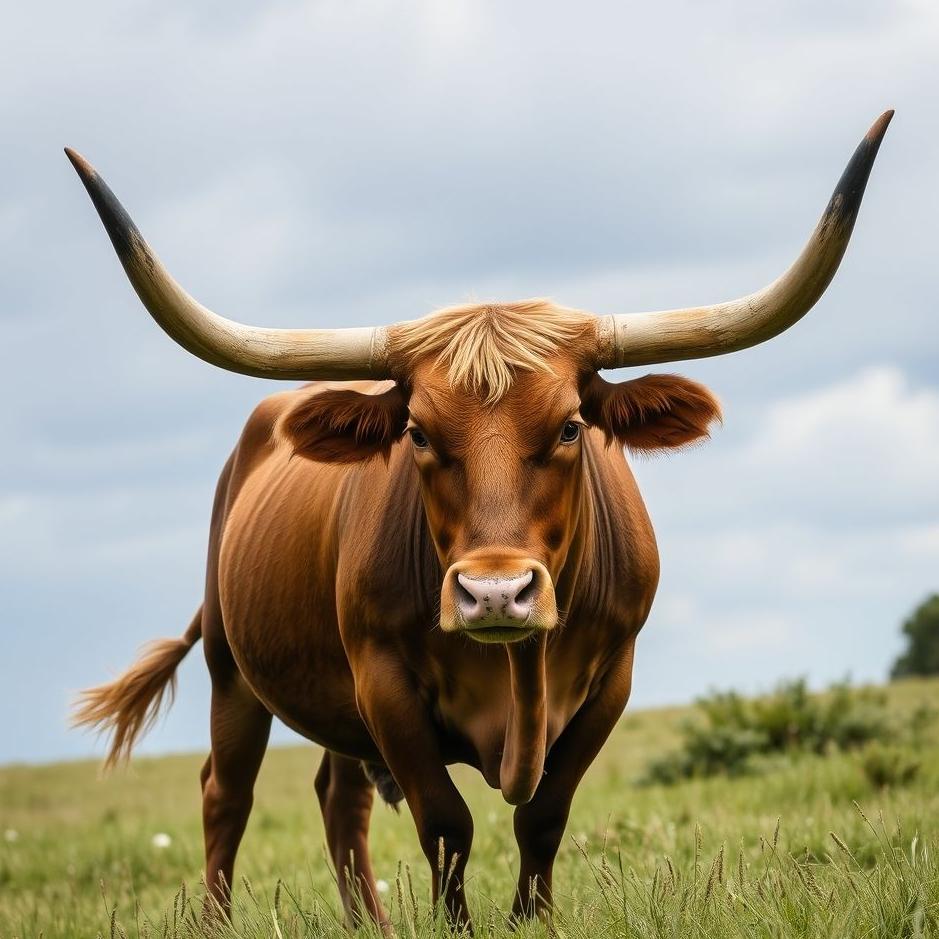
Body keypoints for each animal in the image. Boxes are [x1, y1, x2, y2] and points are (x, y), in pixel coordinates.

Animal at [67, 111, 891, 930]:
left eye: (570, 427)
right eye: (418, 433)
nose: (496, 594)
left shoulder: (612, 678)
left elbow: (543, 817)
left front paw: (535, 919)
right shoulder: (384, 682)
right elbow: (446, 823)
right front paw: (455, 923)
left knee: (339, 798)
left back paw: (371, 921)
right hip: (231, 669)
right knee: (226, 794)